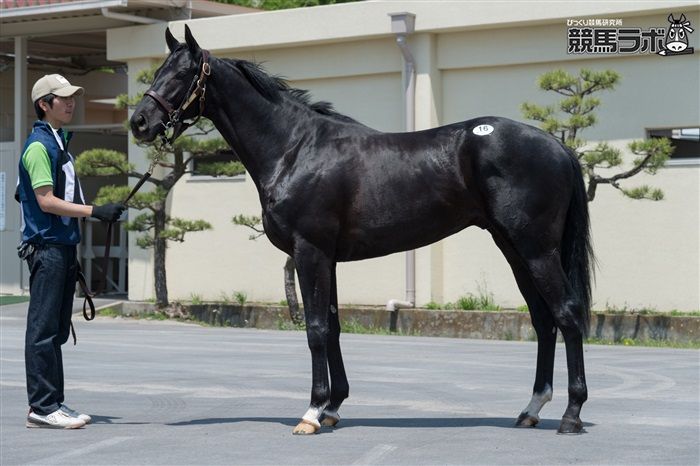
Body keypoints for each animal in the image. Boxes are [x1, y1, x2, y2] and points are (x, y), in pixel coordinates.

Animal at [130, 25, 594, 435]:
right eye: (157, 71)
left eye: (181, 74)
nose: (139, 122)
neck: (295, 148)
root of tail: (558, 146)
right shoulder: (328, 258)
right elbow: (333, 327)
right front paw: (333, 407)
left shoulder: (310, 252)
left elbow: (316, 329)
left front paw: (312, 413)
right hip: (513, 248)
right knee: (544, 320)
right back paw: (531, 410)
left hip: (535, 249)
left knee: (567, 314)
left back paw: (571, 415)